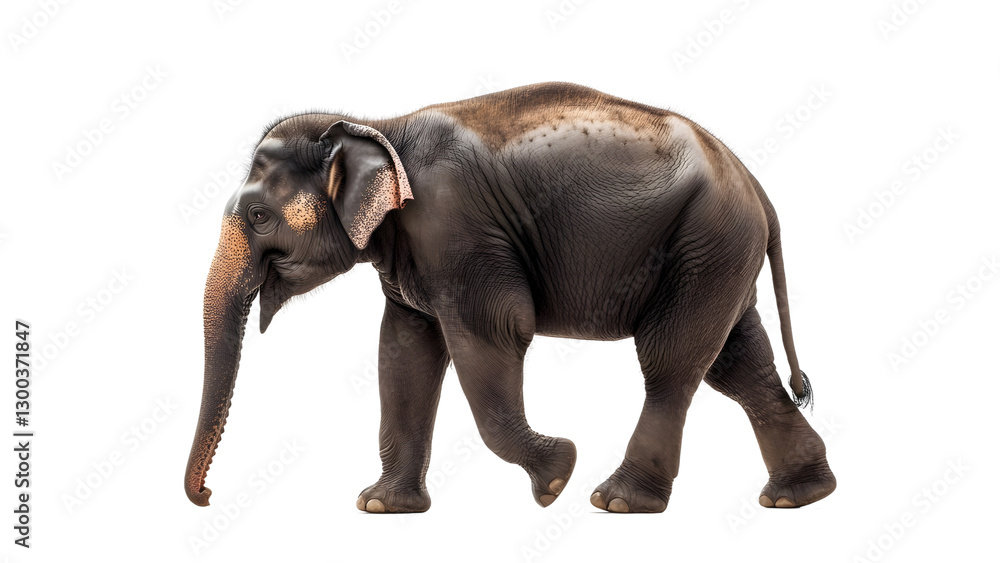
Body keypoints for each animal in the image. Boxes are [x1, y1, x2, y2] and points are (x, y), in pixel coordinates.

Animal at [185, 82, 836, 514]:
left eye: (258, 215)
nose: (209, 495)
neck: (377, 125)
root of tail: (755, 184)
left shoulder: (459, 232)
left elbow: (493, 333)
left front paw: (555, 477)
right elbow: (403, 352)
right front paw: (380, 507)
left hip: (705, 242)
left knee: (671, 363)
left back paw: (615, 501)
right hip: (719, 254)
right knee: (736, 364)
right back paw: (798, 496)